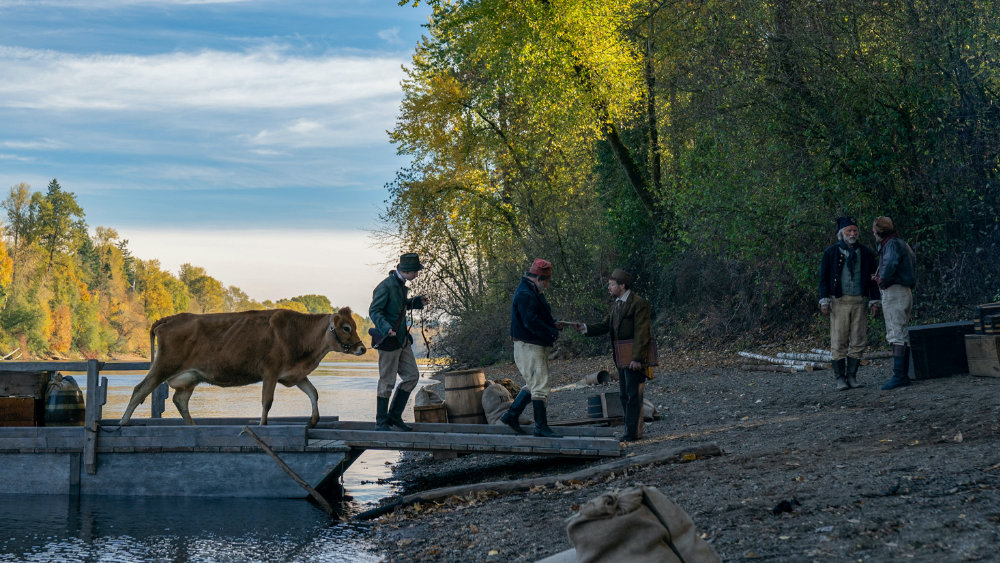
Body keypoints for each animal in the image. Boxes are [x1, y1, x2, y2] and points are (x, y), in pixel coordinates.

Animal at [119, 308, 366, 428]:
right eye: (346, 327)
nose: (362, 348)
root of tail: (169, 319)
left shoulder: (295, 374)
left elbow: (313, 393)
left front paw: (313, 420)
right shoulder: (270, 371)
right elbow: (267, 401)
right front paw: (262, 424)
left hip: (189, 377)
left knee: (180, 400)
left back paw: (192, 425)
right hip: (163, 366)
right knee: (140, 389)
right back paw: (123, 422)